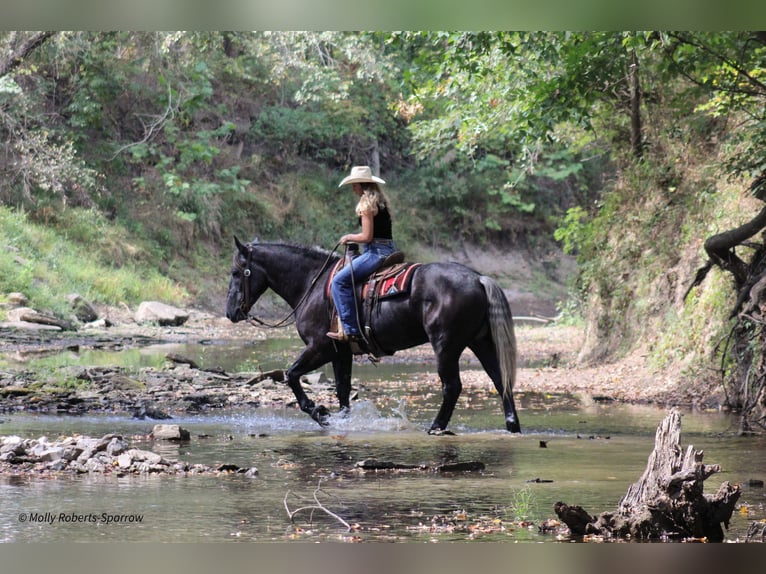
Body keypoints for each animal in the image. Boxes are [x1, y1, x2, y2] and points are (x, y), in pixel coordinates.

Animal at [224, 236, 520, 434]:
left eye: (236, 272)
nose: (230, 312)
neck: (313, 284)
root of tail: (478, 278)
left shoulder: (319, 347)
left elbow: (292, 374)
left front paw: (319, 412)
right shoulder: (340, 352)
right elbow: (342, 389)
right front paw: (342, 420)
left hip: (446, 346)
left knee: (452, 386)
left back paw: (435, 427)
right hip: (479, 342)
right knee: (499, 379)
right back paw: (512, 426)